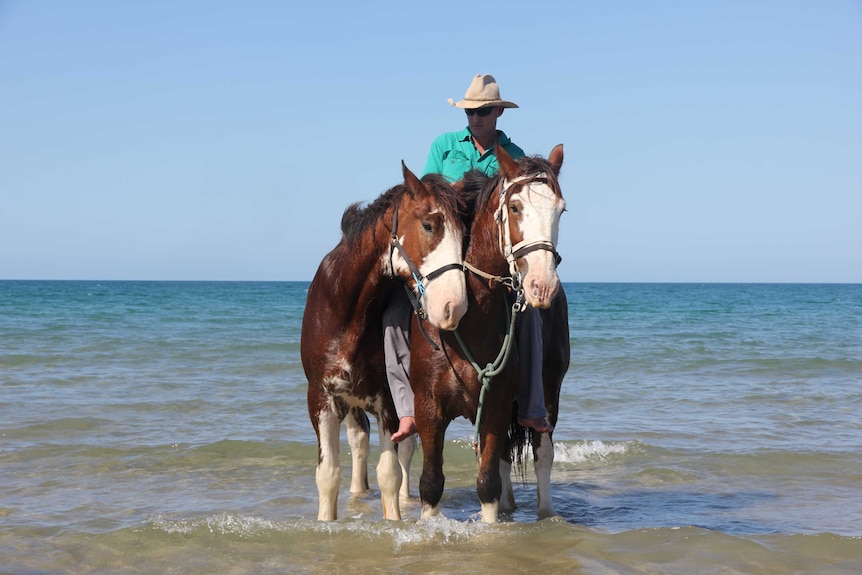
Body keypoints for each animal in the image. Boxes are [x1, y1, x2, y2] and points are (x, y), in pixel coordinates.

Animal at [302, 162, 470, 520]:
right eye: (428, 225)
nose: (454, 305)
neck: (346, 314)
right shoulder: (321, 398)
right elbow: (328, 474)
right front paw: (325, 522)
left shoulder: (388, 400)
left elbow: (390, 474)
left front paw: (394, 520)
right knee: (358, 440)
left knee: (404, 450)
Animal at [410, 143, 572, 520]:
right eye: (515, 207)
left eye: (561, 210)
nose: (543, 285)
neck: (468, 321)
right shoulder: (428, 409)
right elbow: (431, 484)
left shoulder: (497, 403)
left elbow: (487, 486)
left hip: (549, 392)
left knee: (542, 453)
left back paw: (545, 514)